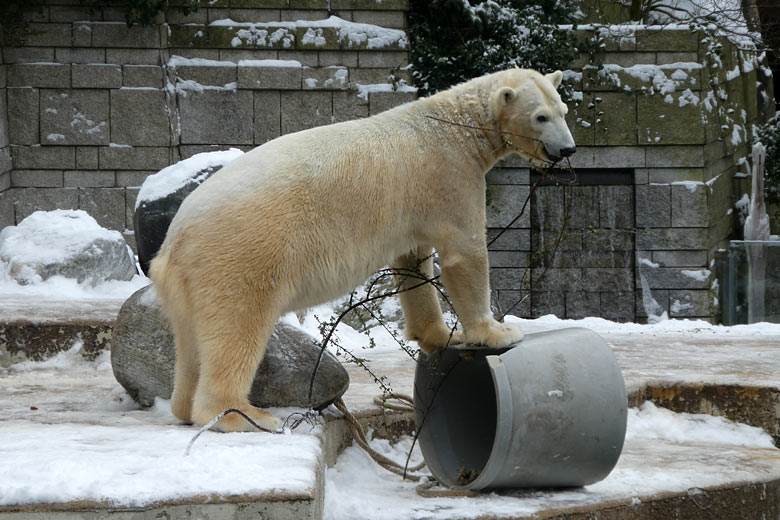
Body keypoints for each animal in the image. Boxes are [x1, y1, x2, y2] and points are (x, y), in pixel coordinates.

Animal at [152, 67, 576, 430]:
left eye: (564, 110)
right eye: (540, 117)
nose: (567, 150)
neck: (456, 126)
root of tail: (173, 241)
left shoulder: (415, 204)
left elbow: (413, 263)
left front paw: (443, 337)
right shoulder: (448, 176)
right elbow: (464, 251)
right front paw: (498, 332)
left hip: (189, 282)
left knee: (191, 340)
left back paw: (185, 406)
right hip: (241, 254)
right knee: (238, 328)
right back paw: (243, 415)